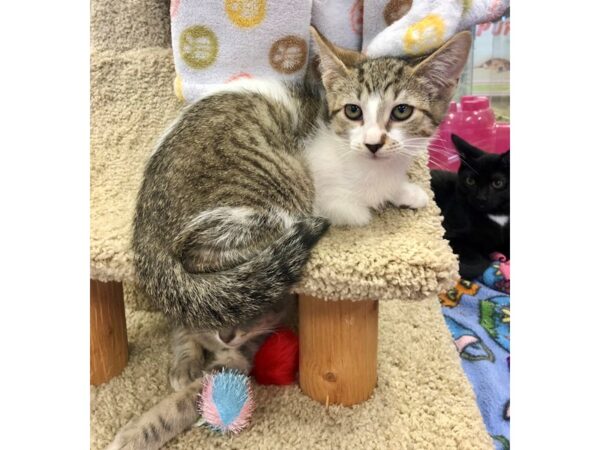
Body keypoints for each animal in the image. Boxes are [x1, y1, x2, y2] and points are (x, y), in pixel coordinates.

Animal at [110, 29, 472, 450]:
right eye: (353, 111)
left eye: (401, 112)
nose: (373, 143)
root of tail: (147, 228)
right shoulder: (328, 197)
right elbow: (358, 210)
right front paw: (386, 198)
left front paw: (408, 192)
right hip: (269, 200)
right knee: (201, 261)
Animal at [428, 134, 508, 280]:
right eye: (470, 181)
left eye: (498, 183)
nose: (481, 198)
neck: (497, 215)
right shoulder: (451, 235)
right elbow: (480, 264)